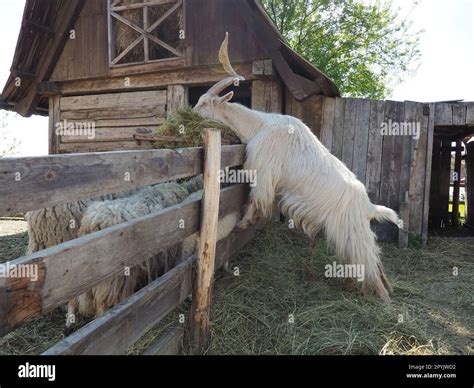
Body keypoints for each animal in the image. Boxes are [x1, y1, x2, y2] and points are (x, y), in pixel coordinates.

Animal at [194, 35, 398, 304]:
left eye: (204, 102)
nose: (188, 113)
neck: (260, 125)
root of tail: (368, 207)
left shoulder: (264, 174)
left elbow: (255, 201)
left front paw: (241, 225)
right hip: (360, 232)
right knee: (376, 259)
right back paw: (390, 290)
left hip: (351, 233)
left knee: (369, 264)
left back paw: (385, 300)